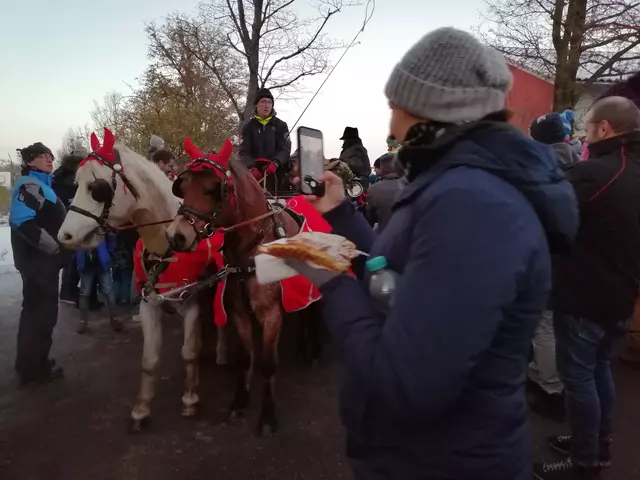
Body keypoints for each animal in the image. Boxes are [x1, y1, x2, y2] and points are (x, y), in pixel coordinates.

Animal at [58, 129, 228, 434]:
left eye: (97, 188)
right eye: (75, 184)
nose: (64, 236)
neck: (166, 246)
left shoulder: (191, 303)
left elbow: (188, 352)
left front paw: (190, 398)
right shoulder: (149, 304)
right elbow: (149, 360)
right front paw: (141, 409)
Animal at [166, 138, 308, 436]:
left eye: (214, 188)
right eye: (182, 186)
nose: (176, 236)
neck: (252, 248)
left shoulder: (272, 314)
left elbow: (268, 364)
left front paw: (267, 415)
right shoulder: (238, 311)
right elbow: (244, 358)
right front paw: (240, 401)